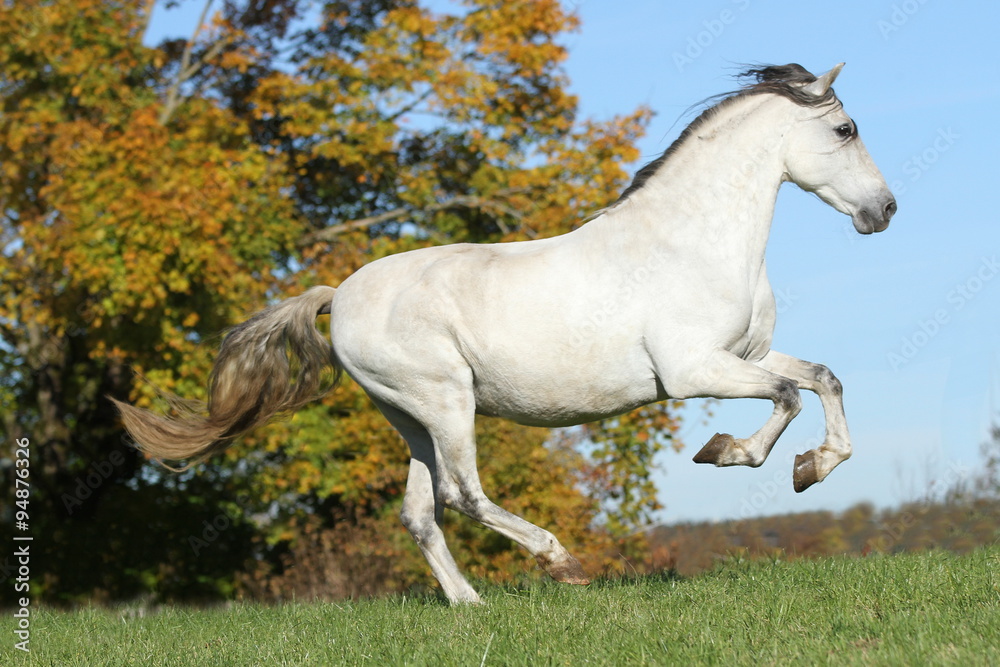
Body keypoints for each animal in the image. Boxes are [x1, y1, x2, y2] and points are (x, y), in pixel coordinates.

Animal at [117, 64, 900, 604]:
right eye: (845, 130)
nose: (885, 209)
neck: (690, 240)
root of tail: (339, 295)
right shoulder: (694, 372)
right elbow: (787, 399)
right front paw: (731, 451)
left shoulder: (746, 355)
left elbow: (822, 378)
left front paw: (810, 466)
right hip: (445, 401)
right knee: (463, 494)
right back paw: (562, 563)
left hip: (409, 417)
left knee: (420, 510)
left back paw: (469, 602)